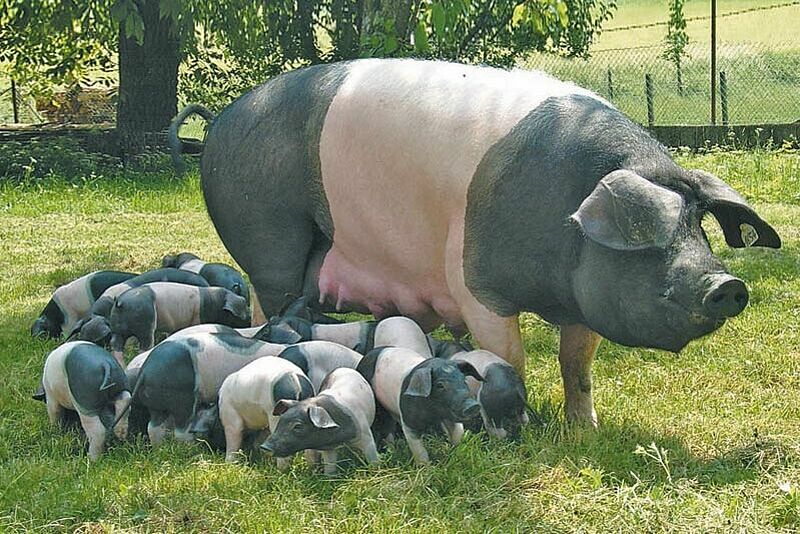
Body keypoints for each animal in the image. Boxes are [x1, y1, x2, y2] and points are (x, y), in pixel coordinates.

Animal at [108, 282, 250, 364]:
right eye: (244, 312)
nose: (249, 320)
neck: (216, 303)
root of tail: (120, 303)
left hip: (118, 330)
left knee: (116, 345)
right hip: (146, 327)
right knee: (144, 346)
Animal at [125, 332, 286, 445]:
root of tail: (146, 371)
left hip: (156, 402)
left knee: (153, 427)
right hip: (183, 399)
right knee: (181, 430)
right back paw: (192, 448)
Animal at [175, 58, 781, 426]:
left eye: (699, 228)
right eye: (650, 235)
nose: (727, 283)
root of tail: (221, 120)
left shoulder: (584, 299)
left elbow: (577, 364)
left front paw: (583, 431)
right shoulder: (475, 285)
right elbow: (508, 356)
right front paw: (524, 424)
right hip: (266, 237)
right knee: (268, 303)